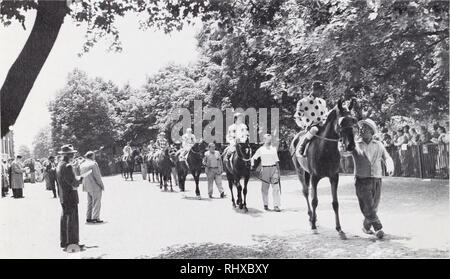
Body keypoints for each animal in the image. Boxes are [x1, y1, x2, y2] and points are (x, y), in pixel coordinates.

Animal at [290, 99, 356, 240]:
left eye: (353, 120)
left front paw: (339, 229)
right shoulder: (315, 177)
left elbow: (335, 203)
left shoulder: (334, 177)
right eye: (341, 122)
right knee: (306, 193)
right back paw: (311, 218)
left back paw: (314, 218)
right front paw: (314, 227)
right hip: (300, 172)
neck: (325, 149)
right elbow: (314, 201)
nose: (351, 145)